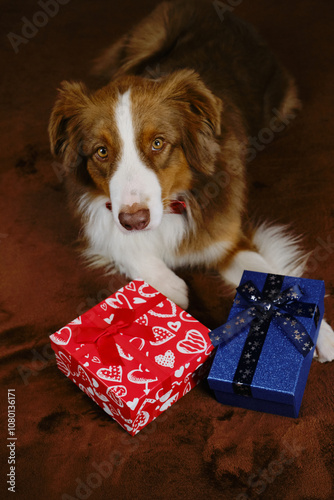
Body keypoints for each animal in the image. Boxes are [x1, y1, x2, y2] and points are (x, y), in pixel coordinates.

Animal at [48, 0, 332, 360]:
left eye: (158, 143)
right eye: (101, 151)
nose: (134, 221)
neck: (173, 203)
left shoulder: (226, 235)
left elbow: (267, 271)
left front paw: (317, 330)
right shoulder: (99, 218)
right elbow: (123, 244)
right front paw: (170, 287)